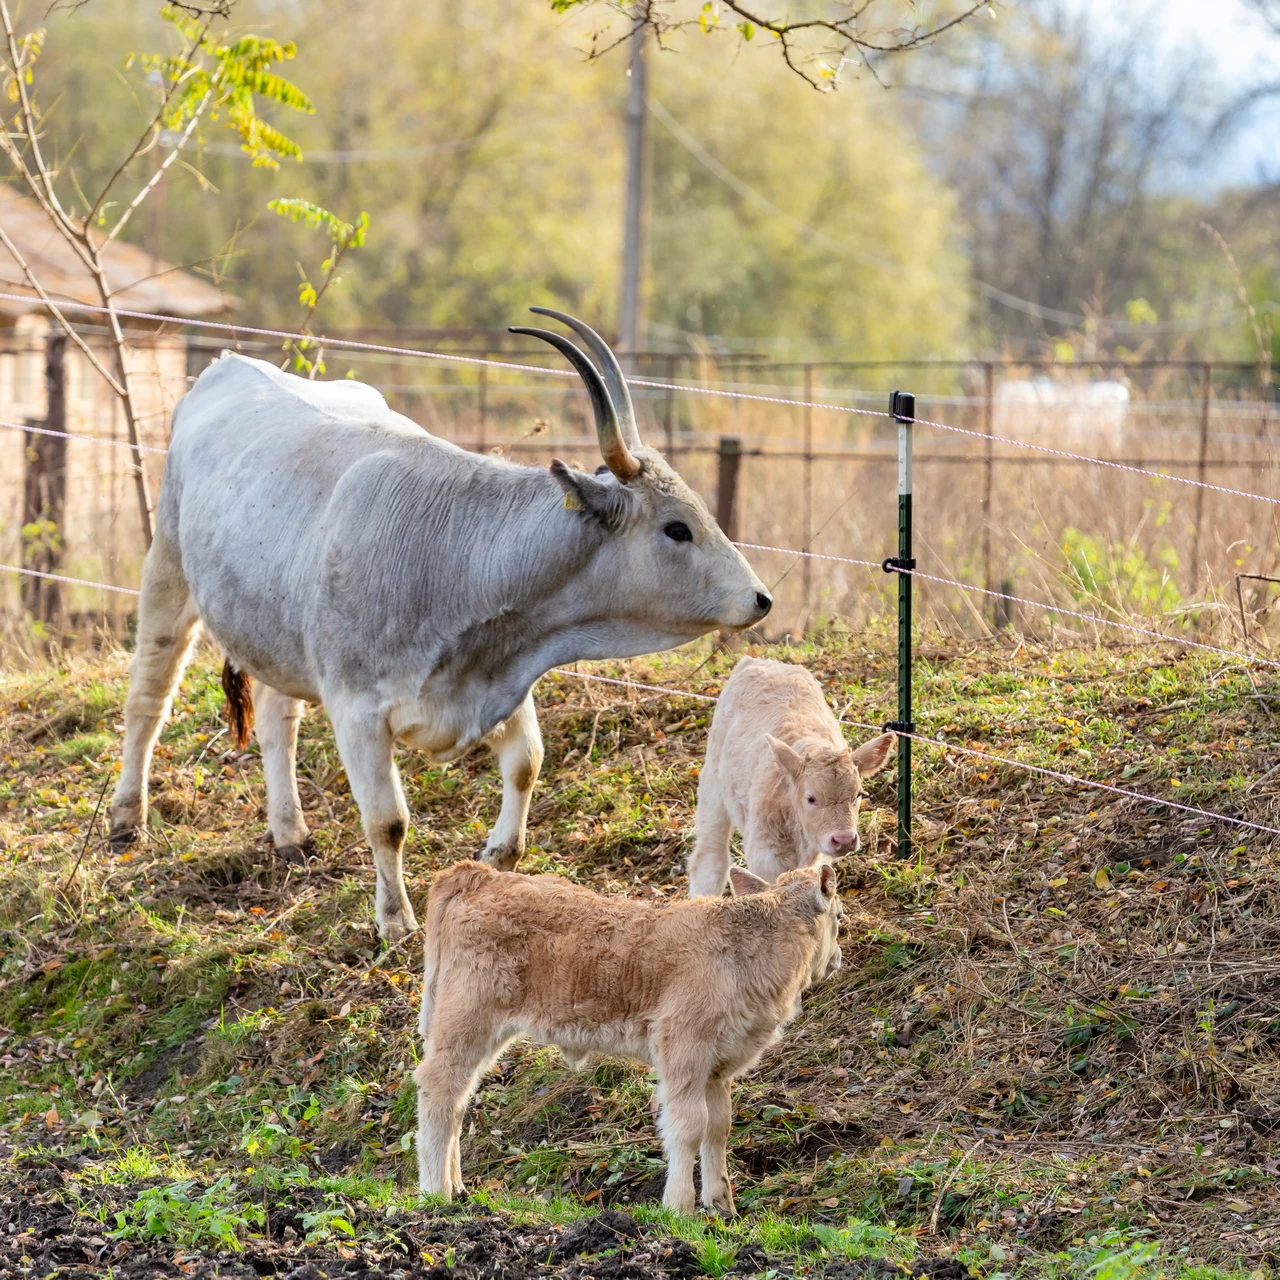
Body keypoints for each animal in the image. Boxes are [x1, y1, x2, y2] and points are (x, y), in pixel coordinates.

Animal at [110, 312, 768, 942]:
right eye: (677, 528)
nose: (759, 599)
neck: (457, 557)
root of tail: (227, 364)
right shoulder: (357, 709)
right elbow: (388, 821)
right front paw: (395, 920)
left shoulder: (500, 685)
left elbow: (527, 761)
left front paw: (500, 855)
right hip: (167, 575)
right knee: (148, 698)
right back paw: (125, 819)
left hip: (276, 632)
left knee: (278, 721)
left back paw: (290, 831)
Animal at [414, 855, 844, 1213]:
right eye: (839, 916)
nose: (838, 958)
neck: (747, 951)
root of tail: (482, 875)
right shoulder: (683, 1047)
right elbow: (688, 1126)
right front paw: (679, 1209)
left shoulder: (718, 1065)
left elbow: (718, 1127)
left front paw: (723, 1206)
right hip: (467, 1016)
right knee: (438, 1086)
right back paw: (435, 1193)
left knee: (458, 1098)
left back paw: (458, 1188)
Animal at [691, 660, 890, 901]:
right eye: (811, 798)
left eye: (858, 795)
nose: (843, 839)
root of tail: (759, 661)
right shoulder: (764, 853)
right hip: (712, 784)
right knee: (710, 854)